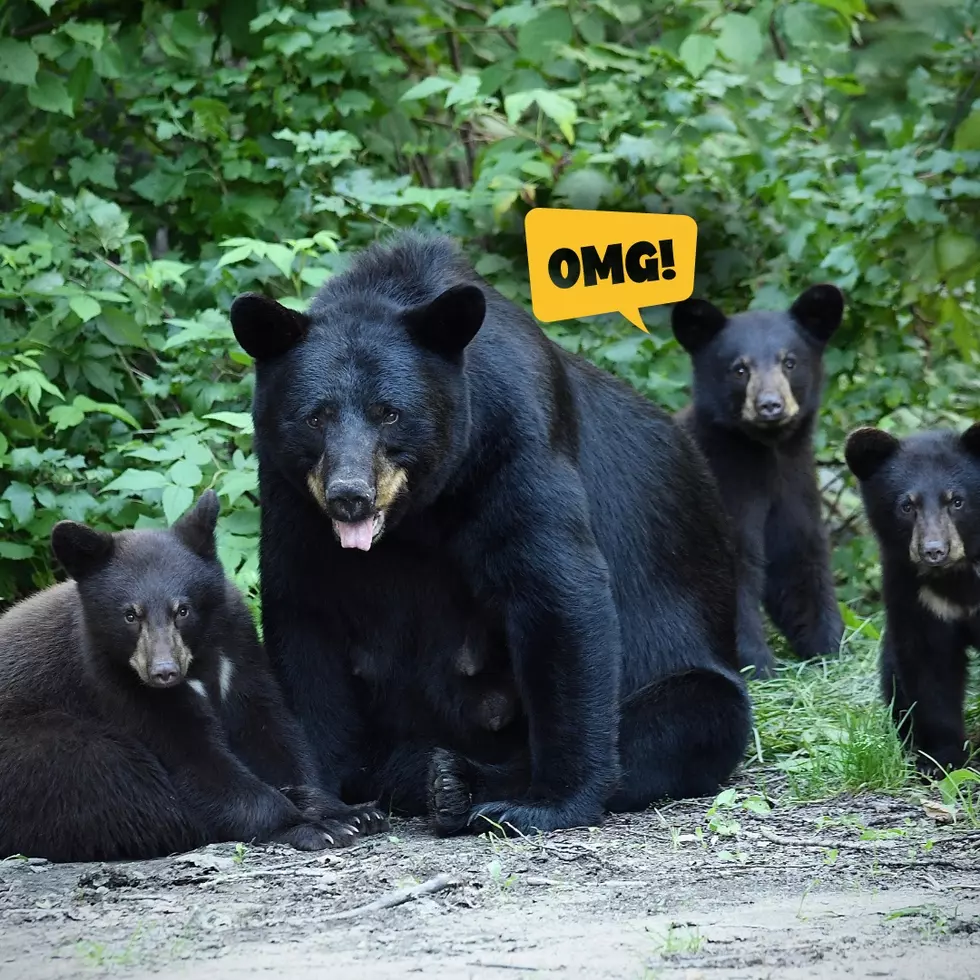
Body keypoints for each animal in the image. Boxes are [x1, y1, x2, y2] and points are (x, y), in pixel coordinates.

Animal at [0, 490, 387, 863]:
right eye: (130, 615)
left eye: (182, 610)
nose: (163, 672)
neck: (197, 663)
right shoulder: (113, 684)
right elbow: (196, 763)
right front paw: (311, 825)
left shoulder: (238, 651)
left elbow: (271, 732)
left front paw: (349, 812)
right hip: (43, 752)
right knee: (114, 777)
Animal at [228, 230, 753, 838]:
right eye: (315, 417)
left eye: (390, 413)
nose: (350, 494)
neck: (416, 512)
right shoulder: (290, 493)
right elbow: (306, 618)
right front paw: (330, 810)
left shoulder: (512, 440)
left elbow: (556, 591)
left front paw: (549, 801)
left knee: (690, 716)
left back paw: (455, 783)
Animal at [670, 286, 847, 678]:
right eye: (740, 369)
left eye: (789, 362)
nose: (770, 405)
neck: (766, 454)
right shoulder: (724, 489)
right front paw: (757, 665)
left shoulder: (795, 486)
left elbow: (798, 561)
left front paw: (830, 646)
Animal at [845, 422, 980, 775]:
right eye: (907, 506)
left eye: (956, 501)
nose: (934, 551)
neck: (956, 575)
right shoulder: (912, 591)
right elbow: (929, 668)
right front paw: (942, 761)